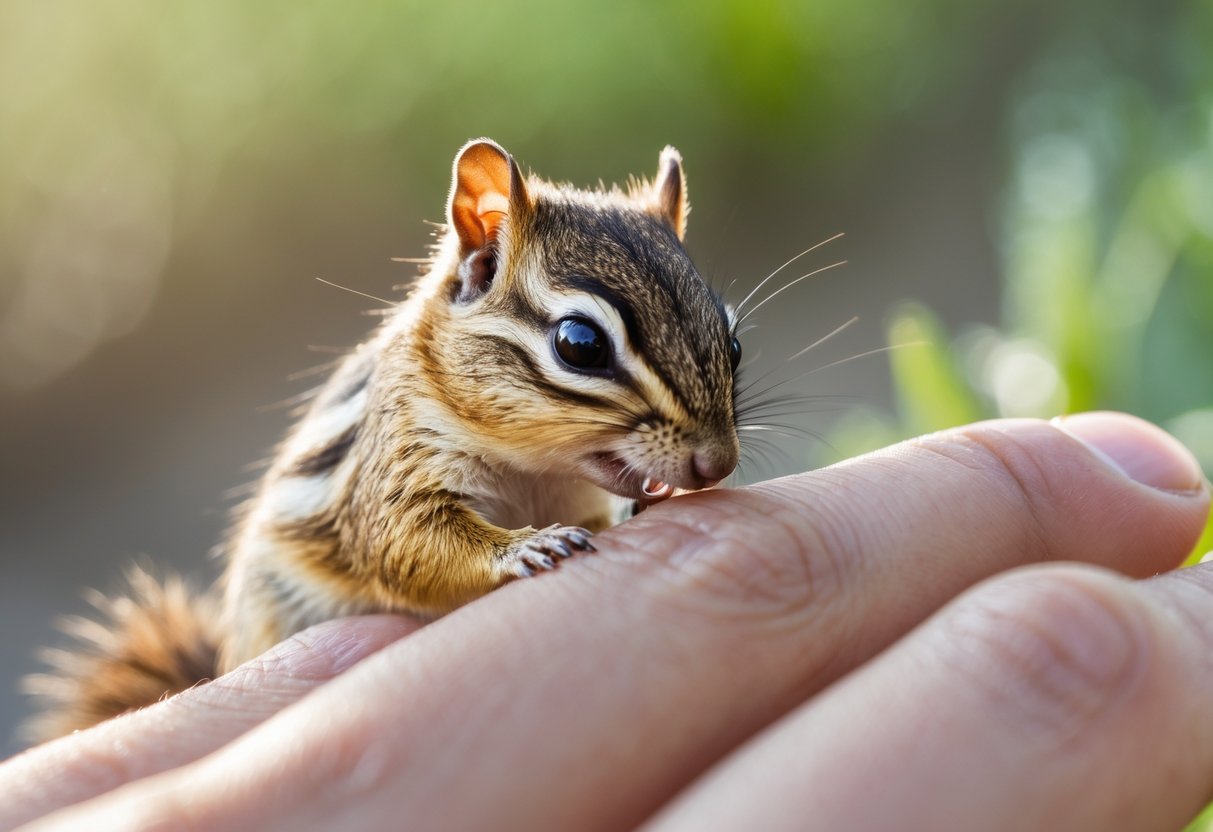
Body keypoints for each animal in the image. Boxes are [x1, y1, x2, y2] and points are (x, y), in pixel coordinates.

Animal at [23, 139, 742, 741]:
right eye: (580, 344)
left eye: (732, 341)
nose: (716, 463)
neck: (533, 473)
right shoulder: (399, 463)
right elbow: (405, 544)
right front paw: (526, 547)